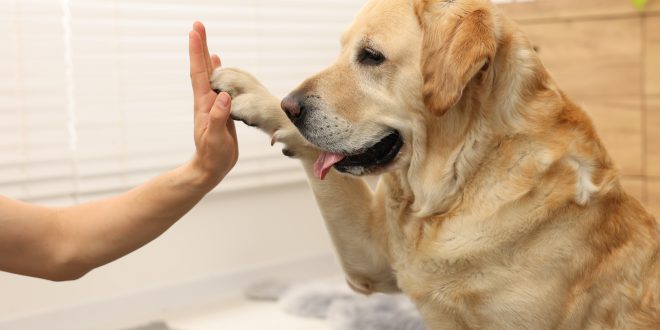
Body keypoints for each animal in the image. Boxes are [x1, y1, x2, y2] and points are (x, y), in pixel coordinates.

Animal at [214, 0, 656, 326]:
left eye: (371, 56)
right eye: (340, 51)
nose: (292, 106)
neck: (458, 183)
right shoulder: (371, 260)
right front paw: (250, 93)